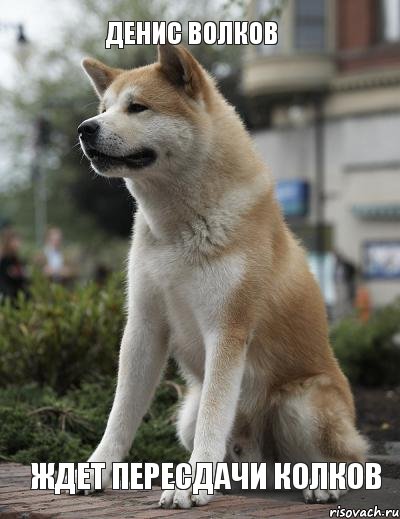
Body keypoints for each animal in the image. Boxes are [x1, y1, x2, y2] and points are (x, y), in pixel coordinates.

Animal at [76, 43, 368, 508]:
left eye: (137, 107)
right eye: (104, 109)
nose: (85, 129)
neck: (178, 228)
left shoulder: (227, 329)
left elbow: (215, 414)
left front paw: (192, 485)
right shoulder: (144, 326)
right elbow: (121, 413)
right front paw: (97, 470)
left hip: (302, 403)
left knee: (347, 458)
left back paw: (325, 483)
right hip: (187, 416)